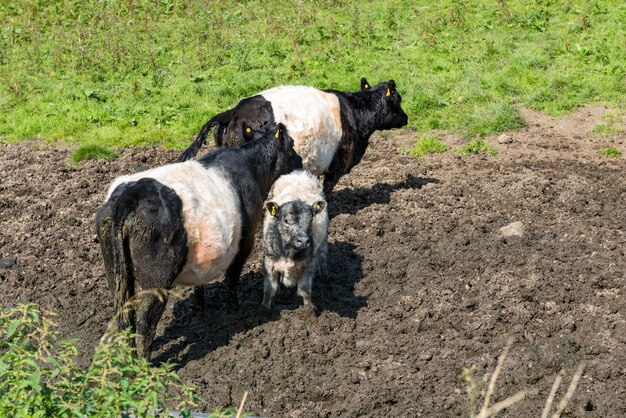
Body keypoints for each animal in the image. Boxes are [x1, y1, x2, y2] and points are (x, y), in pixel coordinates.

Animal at [94, 122, 294, 358]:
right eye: (292, 145)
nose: (302, 164)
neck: (250, 164)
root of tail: (132, 194)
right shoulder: (246, 240)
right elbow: (233, 276)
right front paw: (233, 309)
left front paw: (199, 308)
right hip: (155, 279)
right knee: (144, 321)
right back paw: (143, 363)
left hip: (116, 271)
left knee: (124, 316)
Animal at [260, 171, 326, 314]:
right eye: (286, 220)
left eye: (310, 219)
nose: (304, 241)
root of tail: (298, 173)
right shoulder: (269, 262)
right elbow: (269, 289)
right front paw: (264, 309)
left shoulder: (308, 263)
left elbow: (305, 288)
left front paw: (309, 309)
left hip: (323, 242)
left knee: (322, 256)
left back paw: (325, 276)